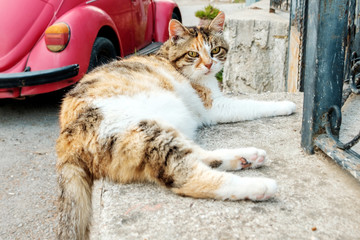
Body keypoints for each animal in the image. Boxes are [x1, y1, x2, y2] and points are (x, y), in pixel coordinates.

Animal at [55, 12, 296, 240]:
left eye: (215, 50)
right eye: (193, 54)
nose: (209, 65)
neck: (170, 58)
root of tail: (65, 140)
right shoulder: (214, 106)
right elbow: (251, 104)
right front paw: (286, 104)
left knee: (200, 156)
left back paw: (248, 157)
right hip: (145, 132)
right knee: (186, 176)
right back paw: (259, 186)